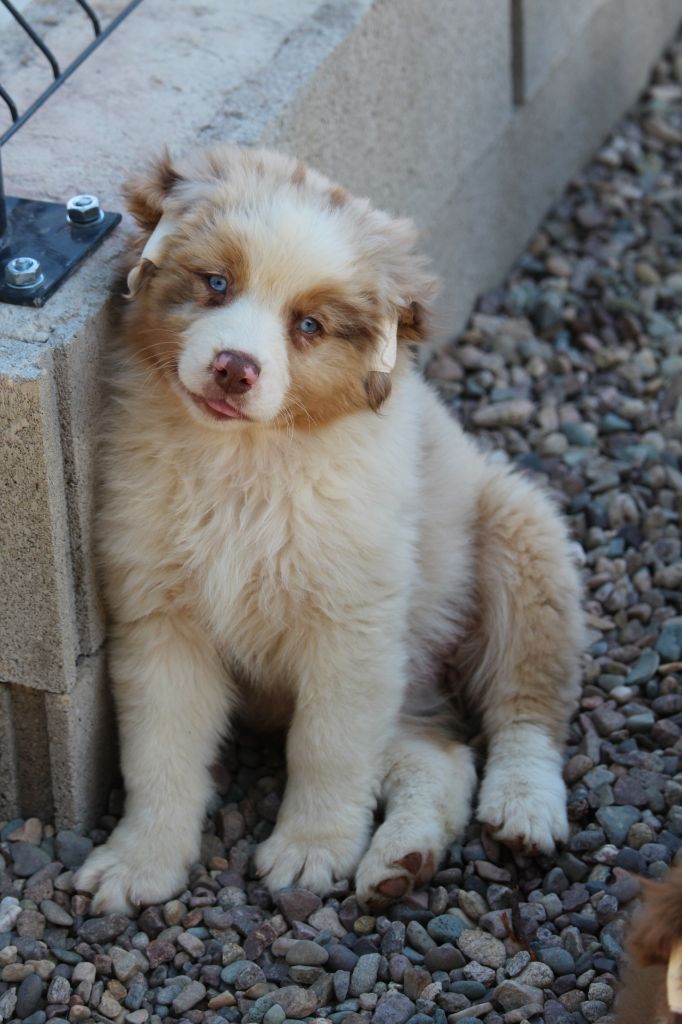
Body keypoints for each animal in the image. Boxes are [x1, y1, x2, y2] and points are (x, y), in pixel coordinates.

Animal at [75, 144, 585, 913]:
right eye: (216, 283)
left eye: (308, 326)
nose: (234, 369)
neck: (245, 465)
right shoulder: (161, 620)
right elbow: (159, 753)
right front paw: (140, 861)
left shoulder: (351, 631)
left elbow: (327, 748)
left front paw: (310, 850)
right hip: (408, 680)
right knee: (442, 755)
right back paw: (403, 861)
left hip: (522, 539)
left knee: (525, 706)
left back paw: (523, 807)